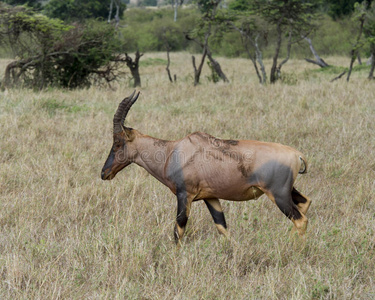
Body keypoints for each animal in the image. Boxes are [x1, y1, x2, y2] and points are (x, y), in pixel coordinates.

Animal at [101, 91, 312, 246]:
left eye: (118, 142)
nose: (104, 173)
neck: (173, 151)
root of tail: (296, 154)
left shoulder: (184, 195)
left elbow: (178, 229)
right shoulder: (211, 197)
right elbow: (222, 228)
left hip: (278, 194)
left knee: (300, 219)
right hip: (287, 191)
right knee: (305, 203)